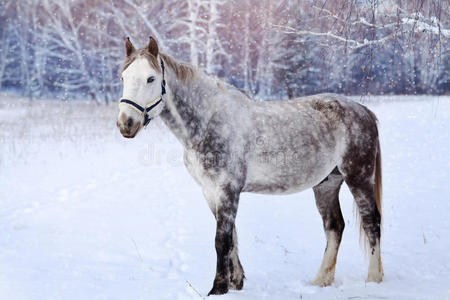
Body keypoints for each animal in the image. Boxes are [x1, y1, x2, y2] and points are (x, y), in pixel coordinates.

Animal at [117, 37, 384, 296]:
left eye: (151, 78)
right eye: (123, 77)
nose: (125, 124)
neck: (208, 121)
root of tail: (363, 111)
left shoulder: (227, 190)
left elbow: (222, 240)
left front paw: (218, 288)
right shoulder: (211, 192)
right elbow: (232, 237)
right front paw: (235, 282)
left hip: (358, 177)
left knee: (372, 223)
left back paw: (373, 279)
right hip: (326, 184)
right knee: (334, 227)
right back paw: (321, 281)